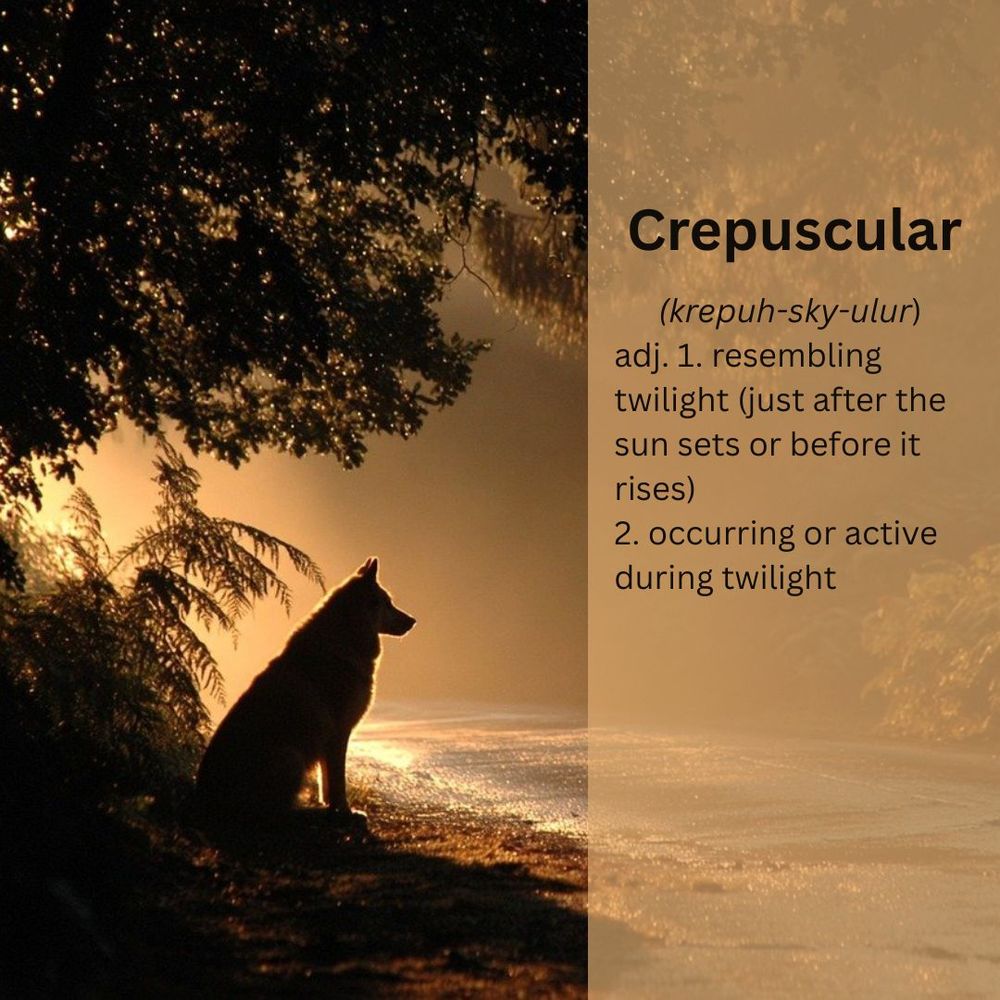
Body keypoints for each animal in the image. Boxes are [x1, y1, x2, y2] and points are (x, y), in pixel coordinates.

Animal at [195, 557, 415, 828]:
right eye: (388, 603)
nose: (413, 621)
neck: (343, 642)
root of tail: (201, 804)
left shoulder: (330, 740)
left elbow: (326, 784)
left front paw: (333, 809)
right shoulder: (339, 734)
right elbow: (338, 784)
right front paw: (346, 813)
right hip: (292, 757)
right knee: (274, 815)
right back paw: (310, 815)